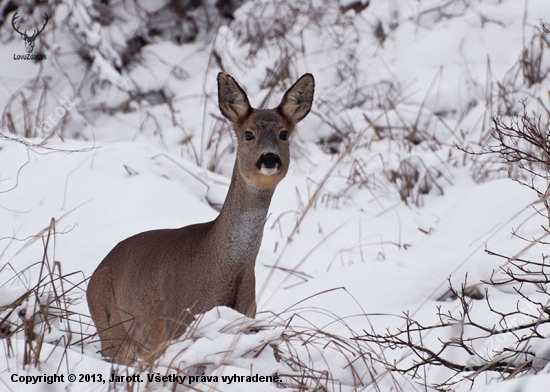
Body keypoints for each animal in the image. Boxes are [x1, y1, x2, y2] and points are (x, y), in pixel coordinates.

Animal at [88, 72, 316, 362]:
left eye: (284, 134)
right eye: (248, 134)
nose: (269, 158)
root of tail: (94, 274)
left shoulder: (245, 318)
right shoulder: (176, 323)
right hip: (110, 327)